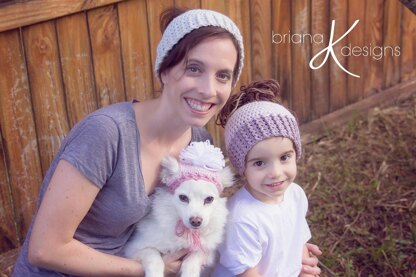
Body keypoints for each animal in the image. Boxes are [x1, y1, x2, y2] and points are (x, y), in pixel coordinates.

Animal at [122, 141, 234, 274]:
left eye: (209, 199)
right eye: (183, 197)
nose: (196, 221)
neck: (187, 233)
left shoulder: (208, 252)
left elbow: (193, 258)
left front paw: (189, 273)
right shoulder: (134, 249)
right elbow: (154, 256)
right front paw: (155, 273)